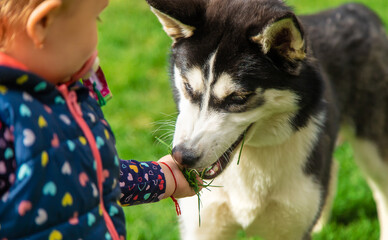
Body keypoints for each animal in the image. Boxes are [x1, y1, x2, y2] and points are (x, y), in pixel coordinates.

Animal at [144, 0, 388, 239]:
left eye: (239, 97)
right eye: (187, 86)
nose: (182, 156)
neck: (253, 157)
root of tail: (356, 9)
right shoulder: (203, 227)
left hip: (374, 152)